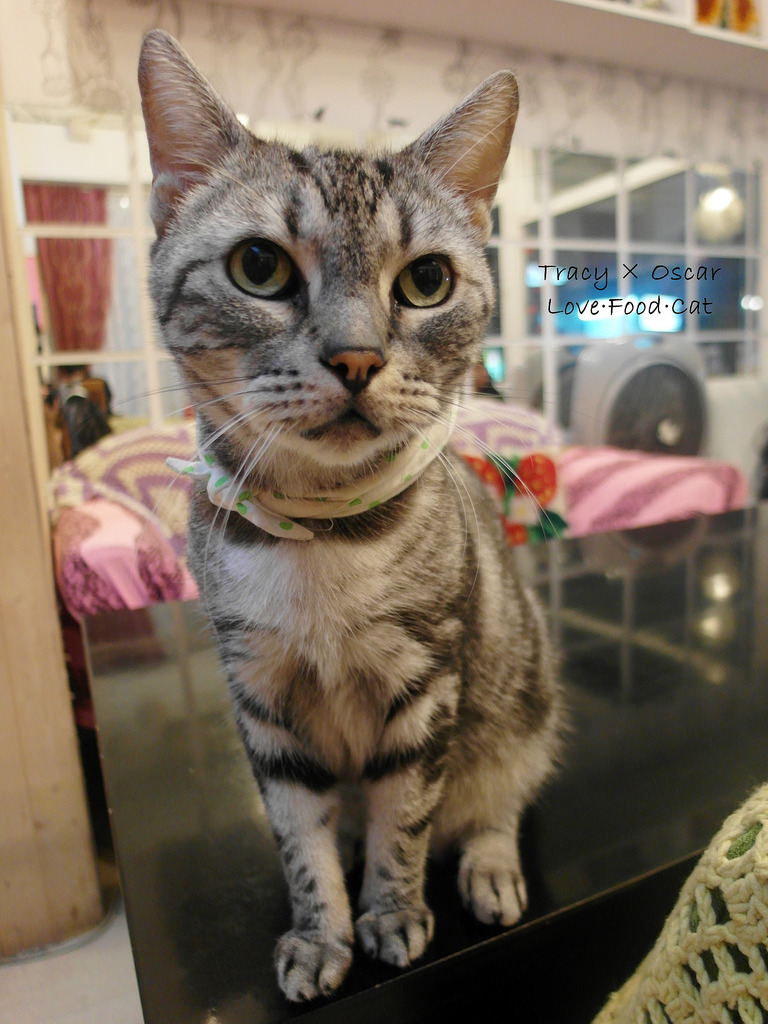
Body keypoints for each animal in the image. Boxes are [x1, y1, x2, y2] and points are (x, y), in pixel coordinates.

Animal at [139, 29, 563, 1003]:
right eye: (259, 266)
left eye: (428, 280)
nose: (358, 357)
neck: (323, 536)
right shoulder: (261, 702)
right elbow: (301, 840)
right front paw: (321, 932)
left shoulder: (426, 687)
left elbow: (404, 821)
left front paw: (393, 913)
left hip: (524, 705)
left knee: (495, 803)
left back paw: (487, 868)